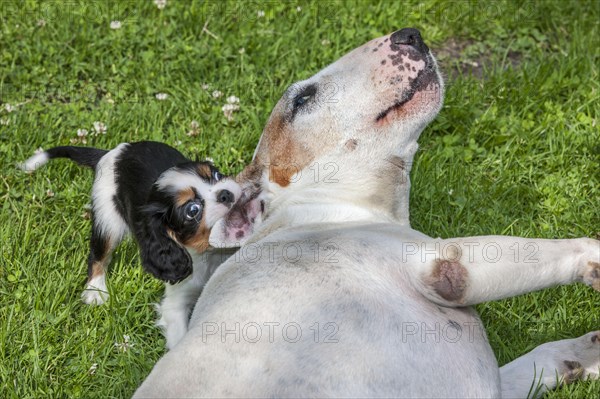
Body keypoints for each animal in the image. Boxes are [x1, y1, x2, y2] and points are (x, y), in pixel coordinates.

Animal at [22, 143, 244, 346]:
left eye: (216, 175)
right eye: (192, 210)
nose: (225, 193)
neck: (211, 252)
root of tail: (114, 151)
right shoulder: (176, 301)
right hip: (108, 219)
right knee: (98, 255)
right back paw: (95, 290)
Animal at [134, 27, 596, 396]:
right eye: (303, 98)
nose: (410, 34)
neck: (327, 210)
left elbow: (537, 357)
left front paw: (582, 352)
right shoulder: (442, 265)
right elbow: (547, 251)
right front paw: (594, 259)